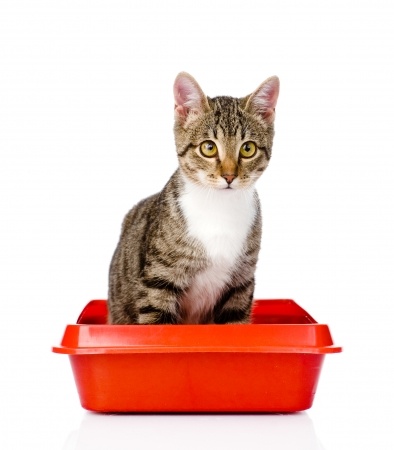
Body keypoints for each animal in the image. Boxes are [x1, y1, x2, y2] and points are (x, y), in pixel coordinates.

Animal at [108, 71, 280, 324]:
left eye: (247, 149)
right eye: (209, 147)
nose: (229, 176)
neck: (219, 208)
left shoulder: (240, 284)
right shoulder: (159, 283)